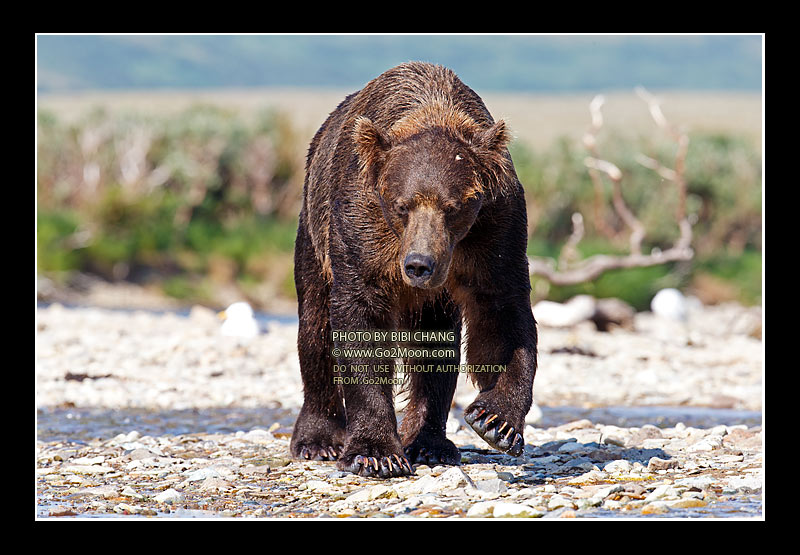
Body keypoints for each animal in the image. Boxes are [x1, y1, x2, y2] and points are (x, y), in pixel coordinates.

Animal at [290, 62, 538, 478]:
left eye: (454, 207)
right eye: (401, 205)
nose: (419, 265)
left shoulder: (496, 225)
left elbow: (502, 312)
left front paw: (496, 420)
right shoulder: (362, 224)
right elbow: (360, 321)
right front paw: (374, 453)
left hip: (434, 299)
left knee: (435, 348)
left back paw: (430, 443)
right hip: (313, 232)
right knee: (314, 324)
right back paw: (317, 440)